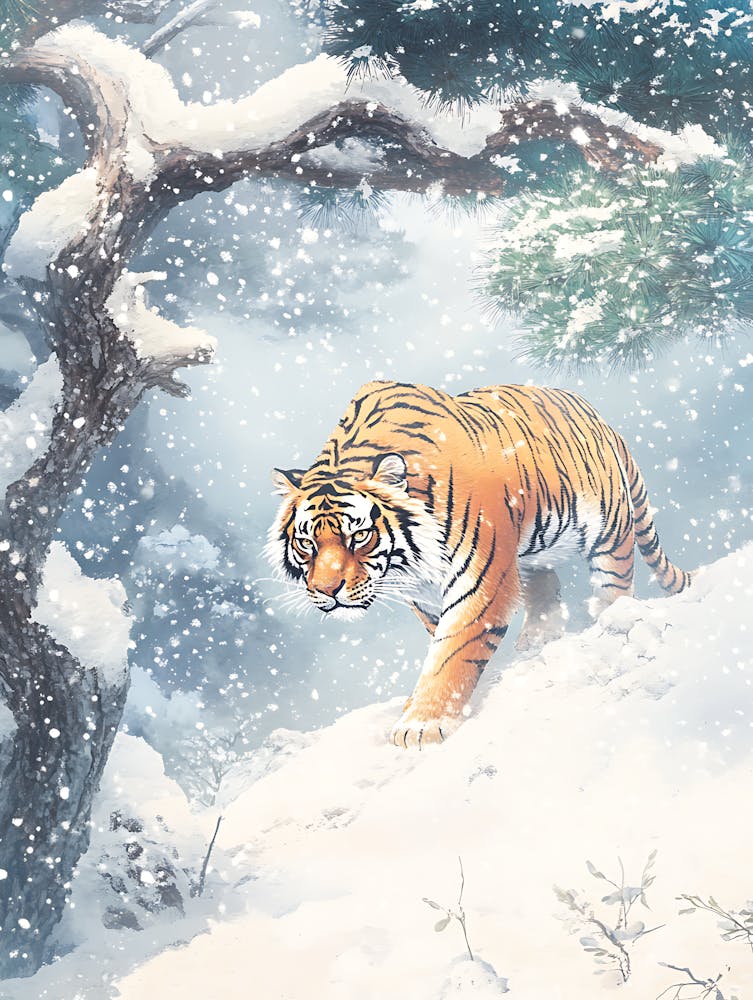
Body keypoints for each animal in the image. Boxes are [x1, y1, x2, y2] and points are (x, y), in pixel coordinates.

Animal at [268, 379, 692, 748]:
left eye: (358, 536)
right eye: (306, 543)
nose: (327, 591)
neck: (409, 565)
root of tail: (597, 415)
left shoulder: (480, 581)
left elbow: (452, 651)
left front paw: (421, 724)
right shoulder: (424, 595)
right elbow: (441, 645)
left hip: (609, 527)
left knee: (614, 585)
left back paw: (610, 623)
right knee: (544, 583)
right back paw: (539, 637)